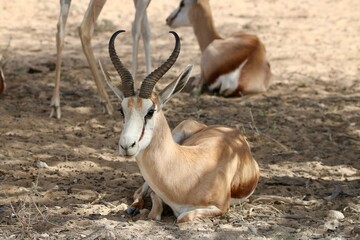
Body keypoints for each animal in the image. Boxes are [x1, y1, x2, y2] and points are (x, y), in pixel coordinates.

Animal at [100, 30, 260, 223]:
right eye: (121, 110)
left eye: (150, 111)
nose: (126, 145)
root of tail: (232, 130)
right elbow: (154, 211)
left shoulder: (220, 207)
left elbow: (182, 217)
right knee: (138, 191)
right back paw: (133, 207)